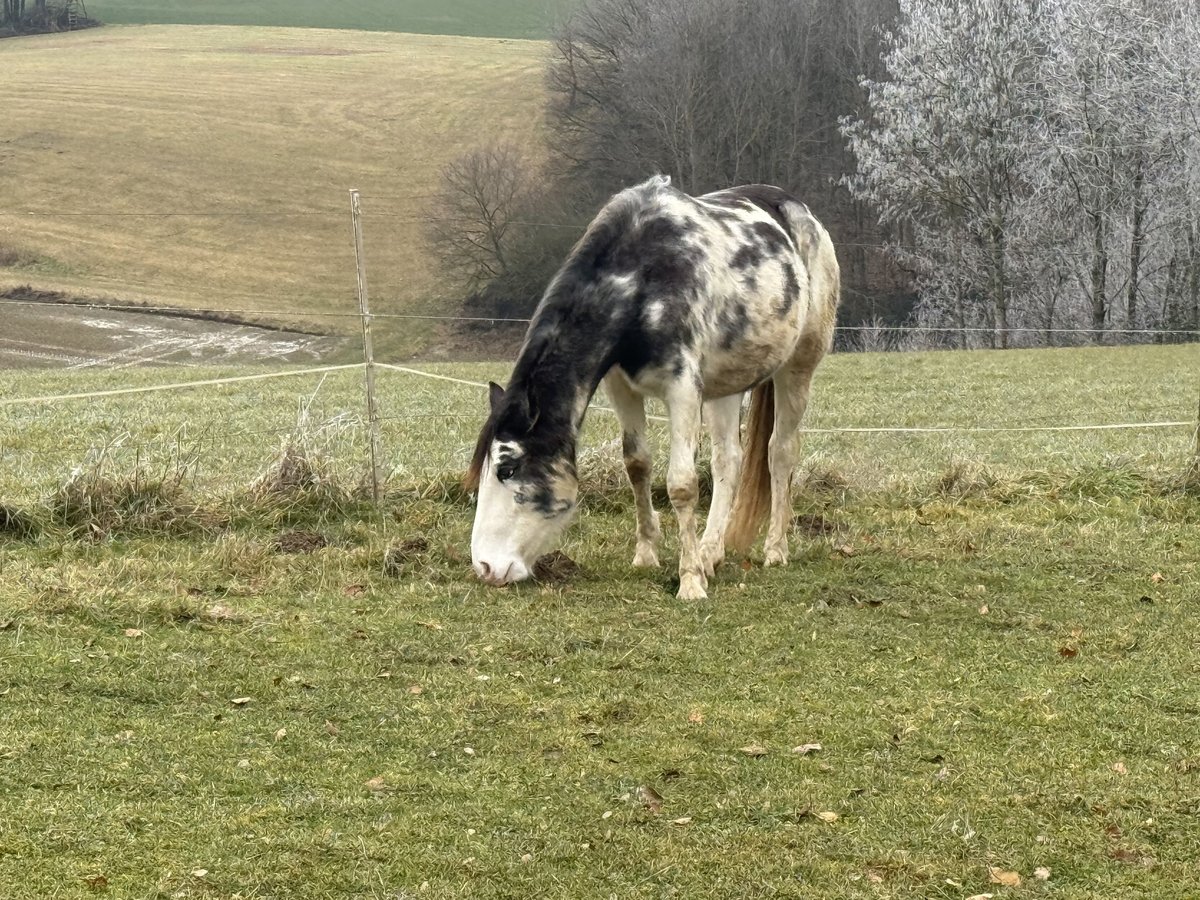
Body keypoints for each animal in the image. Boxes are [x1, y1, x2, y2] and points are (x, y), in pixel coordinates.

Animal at [463, 174, 840, 600]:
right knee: (728, 460)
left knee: (781, 452)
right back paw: (711, 552)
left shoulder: (683, 389)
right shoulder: (620, 387)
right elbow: (637, 464)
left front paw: (689, 580)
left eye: (508, 469)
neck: (642, 280)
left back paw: (775, 549)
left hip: (798, 367)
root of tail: (798, 210)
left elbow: (682, 484)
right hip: (726, 385)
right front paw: (647, 555)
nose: (486, 567)